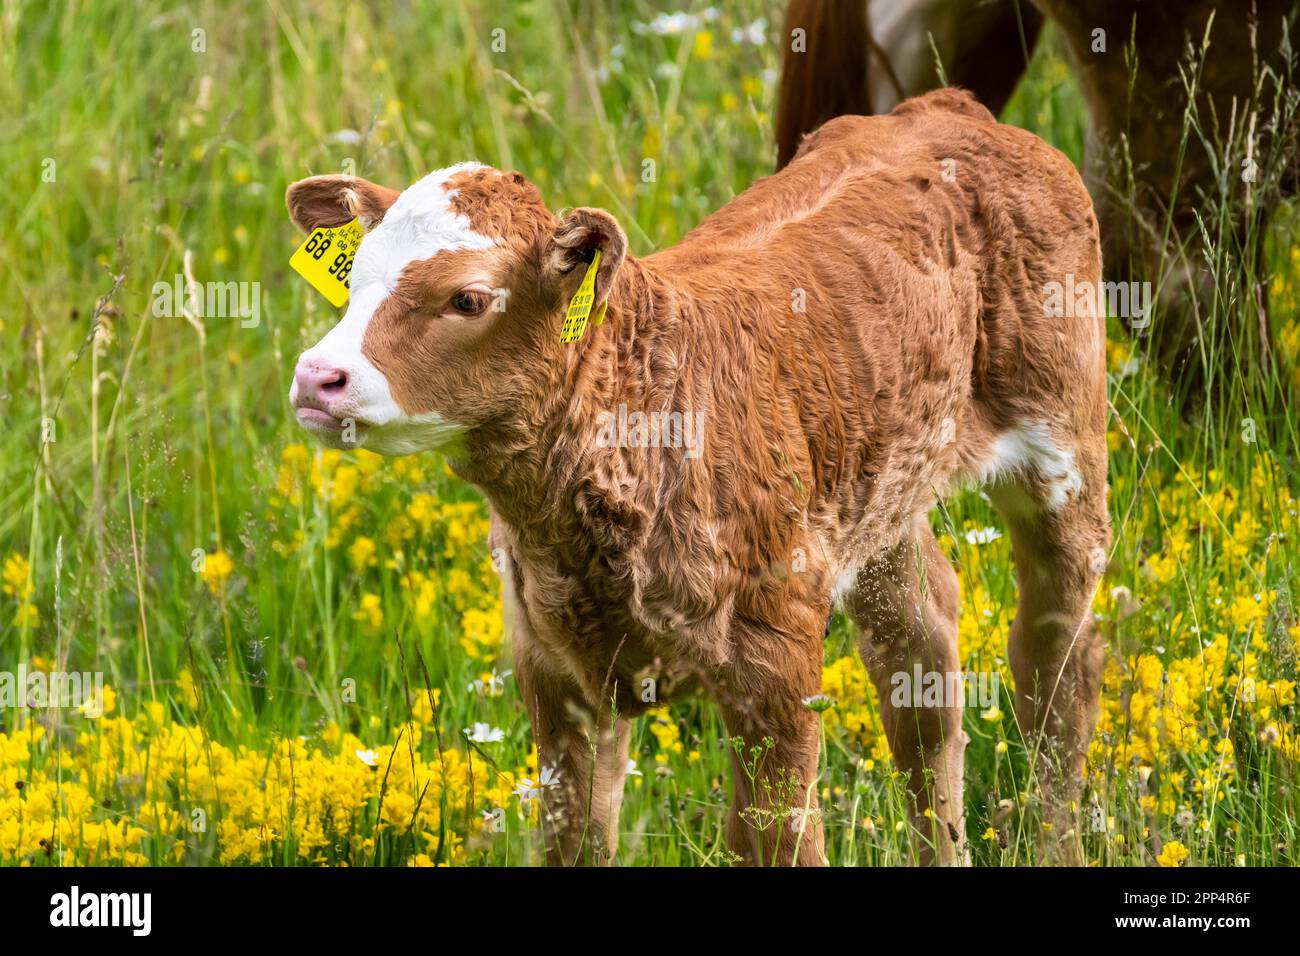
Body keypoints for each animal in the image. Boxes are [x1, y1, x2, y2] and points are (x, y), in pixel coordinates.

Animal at [289, 89, 1112, 868]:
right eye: (352, 281)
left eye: (468, 298)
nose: (316, 376)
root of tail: (943, 108)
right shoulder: (550, 663)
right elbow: (577, 835)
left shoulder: (775, 652)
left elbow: (774, 835)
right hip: (878, 490)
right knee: (921, 647)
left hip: (1066, 443)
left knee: (1057, 660)